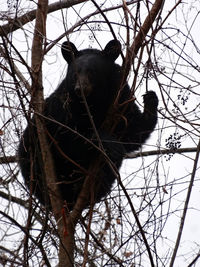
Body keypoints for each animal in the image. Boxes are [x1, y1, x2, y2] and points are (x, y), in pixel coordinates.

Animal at [18, 39, 159, 211]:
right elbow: (66, 135)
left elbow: (133, 132)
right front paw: (109, 142)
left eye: (92, 72)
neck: (93, 102)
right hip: (31, 145)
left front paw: (150, 99)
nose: (80, 89)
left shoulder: (120, 99)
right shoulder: (61, 107)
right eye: (75, 74)